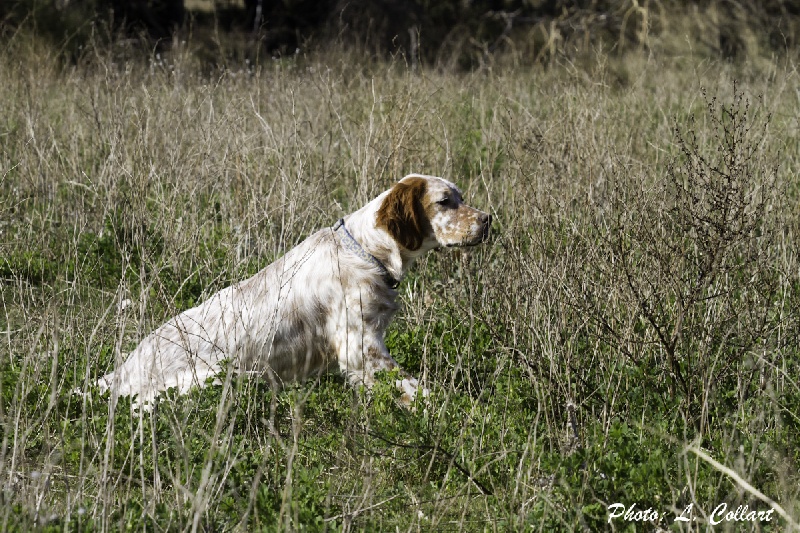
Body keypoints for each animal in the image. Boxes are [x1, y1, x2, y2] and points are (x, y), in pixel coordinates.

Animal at [97, 172, 490, 406]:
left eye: (461, 197)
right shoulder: (361, 348)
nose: (488, 219)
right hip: (228, 376)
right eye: (445, 201)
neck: (366, 250)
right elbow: (418, 391)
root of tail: (119, 376)